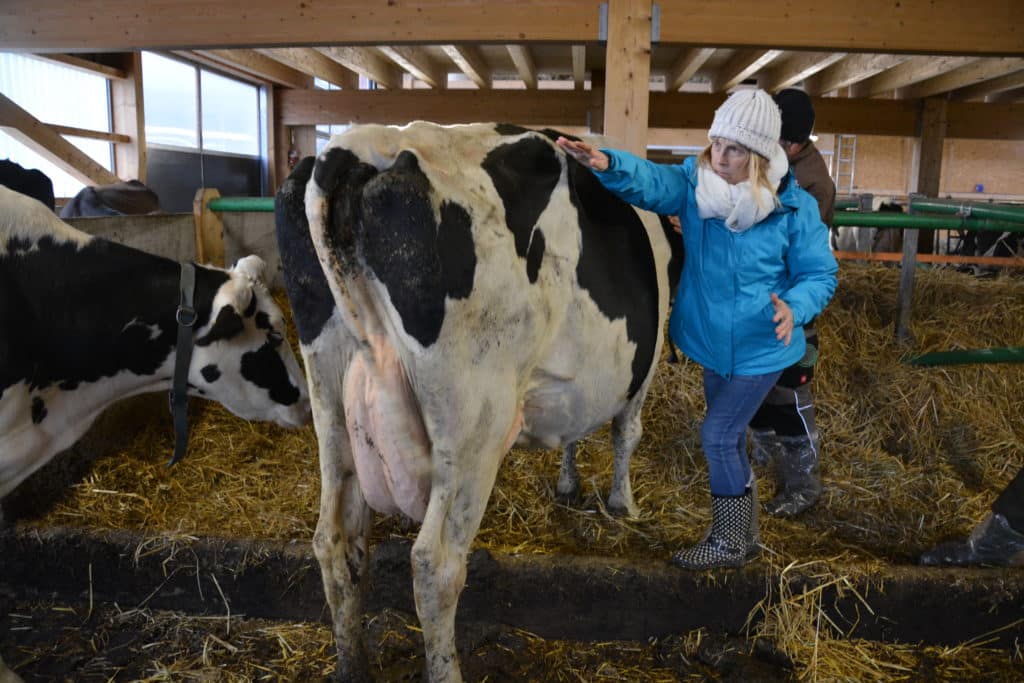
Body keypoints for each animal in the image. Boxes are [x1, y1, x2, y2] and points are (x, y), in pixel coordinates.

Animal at [276, 120, 684, 679]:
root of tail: (359, 145)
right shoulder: (644, 365)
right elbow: (627, 432)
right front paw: (625, 504)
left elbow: (574, 432)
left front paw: (569, 484)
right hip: (474, 420)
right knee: (435, 563)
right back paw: (446, 667)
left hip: (330, 398)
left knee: (336, 543)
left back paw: (351, 665)